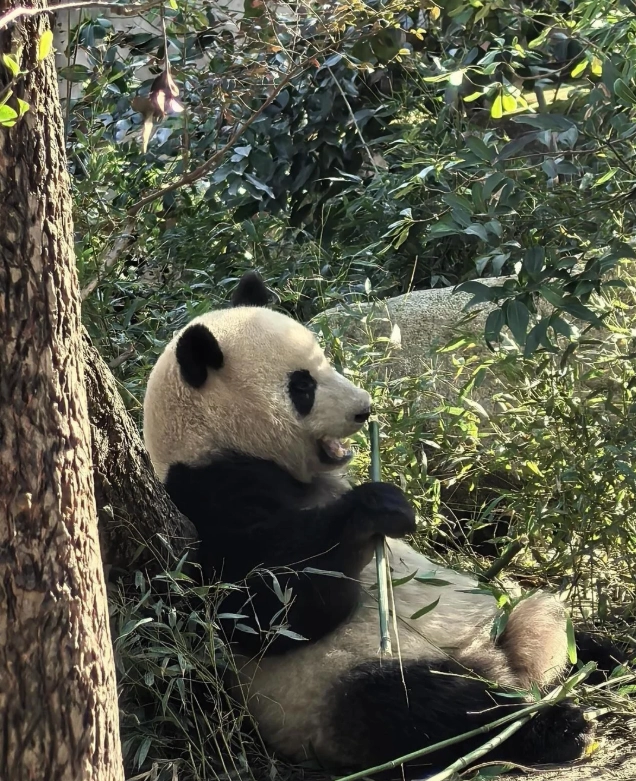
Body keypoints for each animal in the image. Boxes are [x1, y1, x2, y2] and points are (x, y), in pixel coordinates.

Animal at [143, 271, 616, 776]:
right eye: (302, 386)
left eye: (325, 360)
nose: (365, 409)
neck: (213, 440)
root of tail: (496, 658)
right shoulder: (211, 497)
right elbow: (263, 608)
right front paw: (380, 507)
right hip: (341, 682)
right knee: (422, 707)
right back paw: (555, 726)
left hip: (498, 611)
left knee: (551, 618)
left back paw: (607, 656)